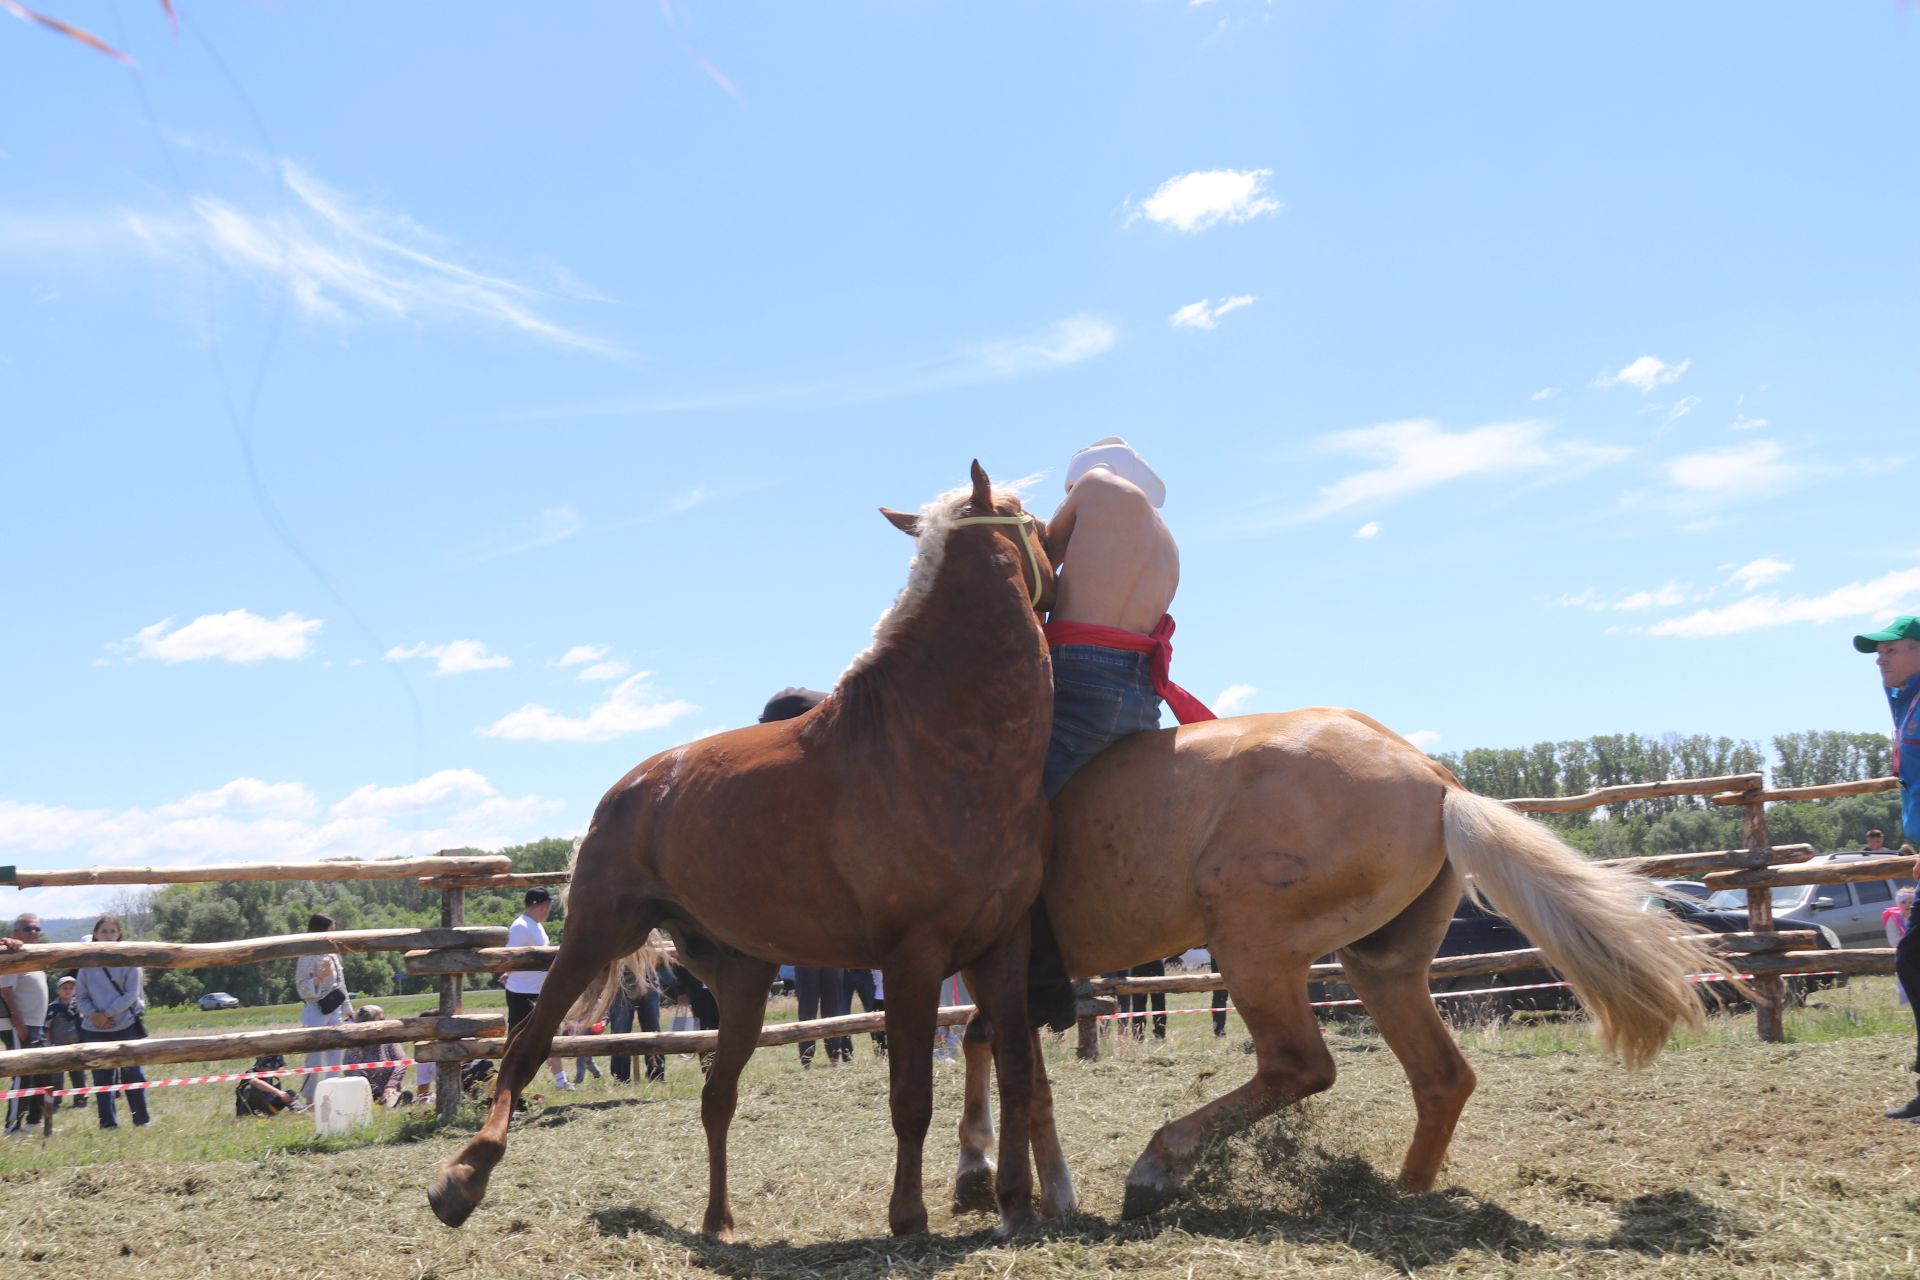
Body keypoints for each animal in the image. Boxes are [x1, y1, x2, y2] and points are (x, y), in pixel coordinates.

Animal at [430, 468, 1059, 1243]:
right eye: (1034, 522)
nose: (1061, 567)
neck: (941, 745)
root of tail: (627, 790)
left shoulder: (1002, 944)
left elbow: (1017, 1068)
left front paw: (1016, 1203)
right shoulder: (912, 959)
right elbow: (911, 1096)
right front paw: (908, 1215)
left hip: (742, 982)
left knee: (716, 1096)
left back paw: (717, 1221)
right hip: (596, 935)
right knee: (525, 1048)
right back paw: (462, 1179)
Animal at [952, 710, 1720, 1220]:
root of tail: (1436, 781)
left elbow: (1001, 1059)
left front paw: (1014, 1185)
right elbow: (987, 1043)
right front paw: (979, 1171)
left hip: (1253, 946)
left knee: (1299, 1064)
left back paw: (1156, 1169)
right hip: (1381, 966)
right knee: (1441, 1076)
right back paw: (1401, 1192)